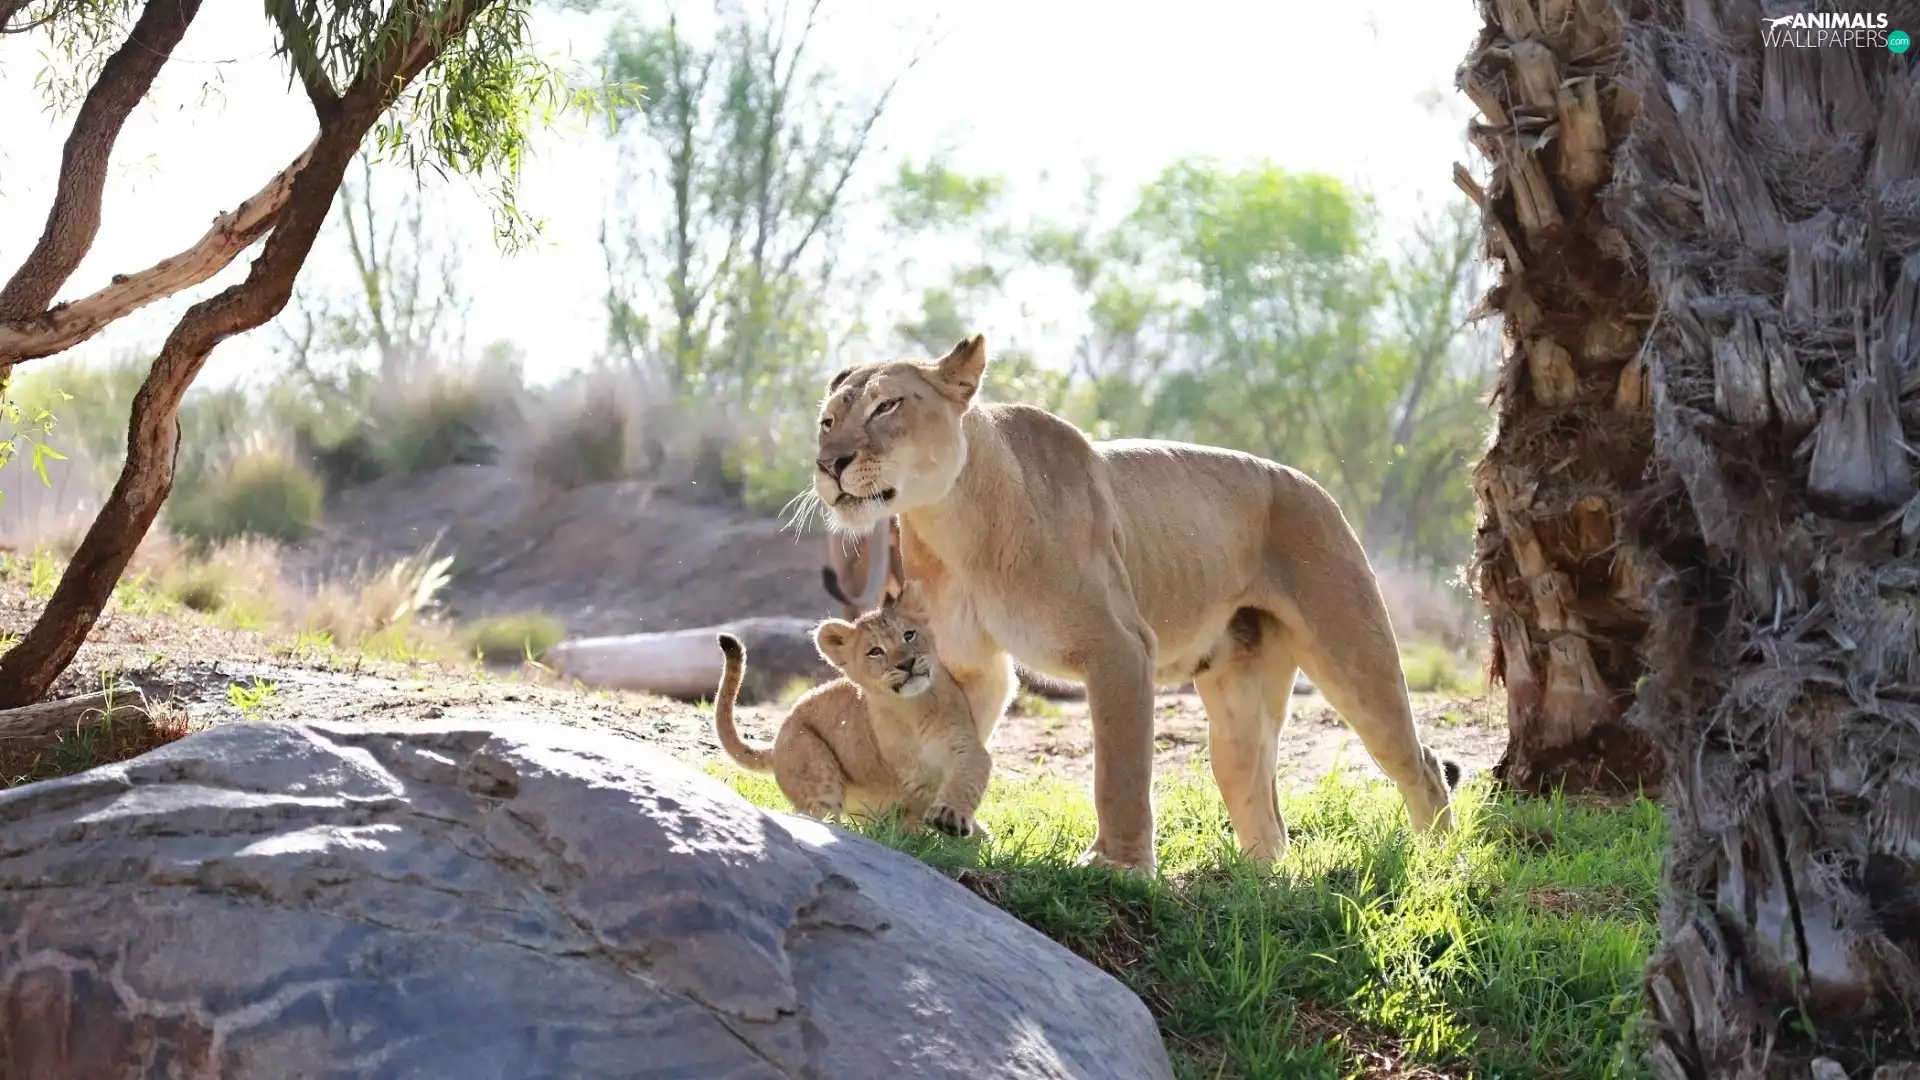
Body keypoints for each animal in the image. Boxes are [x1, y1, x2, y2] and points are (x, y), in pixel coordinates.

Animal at [710, 583, 993, 837]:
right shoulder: (909, 777)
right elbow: (922, 800)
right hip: (813, 764)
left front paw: (952, 818)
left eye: (909, 635)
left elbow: (964, 781)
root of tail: (776, 741)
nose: (907, 663)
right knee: (820, 817)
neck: (912, 708)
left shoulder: (965, 746)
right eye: (875, 652)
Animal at [806, 334, 1460, 872]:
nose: (828, 464)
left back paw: (1438, 866)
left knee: (1421, 763)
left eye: (887, 407)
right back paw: (1252, 887)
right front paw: (942, 823)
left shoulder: (1119, 646)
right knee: (1261, 806)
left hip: (1353, 652)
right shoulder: (969, 664)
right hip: (1238, 699)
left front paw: (1118, 866)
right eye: (828, 420)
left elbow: (1118, 772)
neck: (950, 522)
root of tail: (1315, 486)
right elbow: (964, 740)